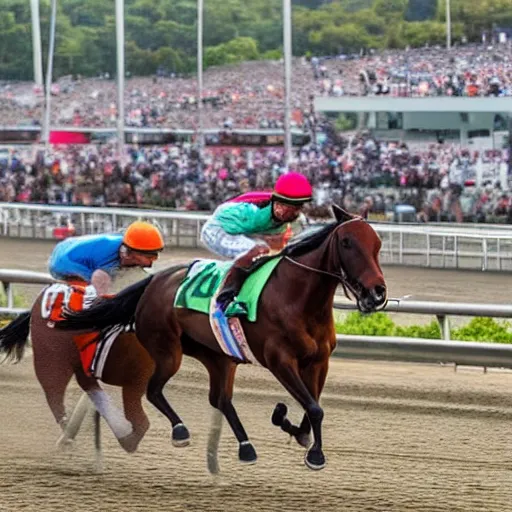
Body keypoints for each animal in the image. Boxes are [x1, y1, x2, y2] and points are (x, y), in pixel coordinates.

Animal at [58, 206, 386, 470]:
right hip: (167, 350)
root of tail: (153, 281)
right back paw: (180, 431)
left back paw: (246, 448)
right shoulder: (280, 361)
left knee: (220, 399)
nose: (377, 292)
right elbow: (314, 407)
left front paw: (294, 429)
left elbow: (312, 407)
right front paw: (315, 454)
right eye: (347, 242)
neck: (298, 299)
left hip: (217, 356)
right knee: (153, 390)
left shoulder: (319, 361)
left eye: (377, 244)